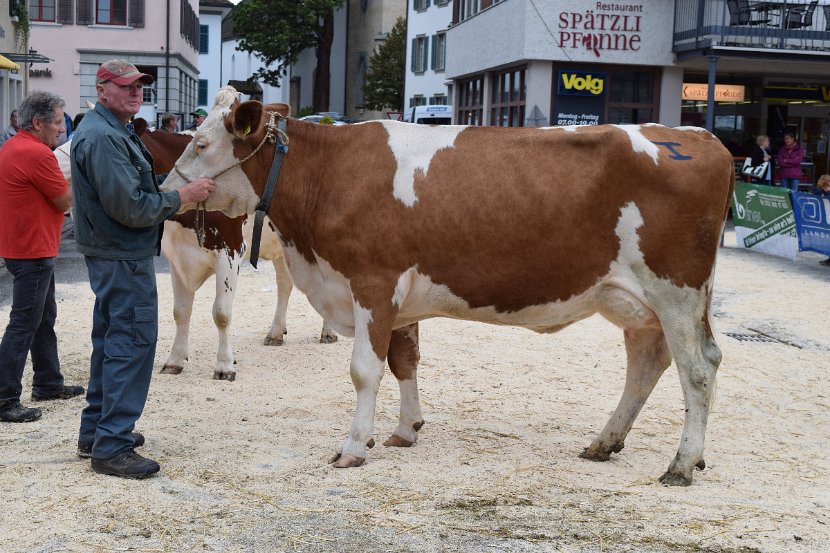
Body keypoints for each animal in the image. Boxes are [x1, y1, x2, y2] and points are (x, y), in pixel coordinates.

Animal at [162, 89, 736, 484]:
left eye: (201, 142)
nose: (167, 189)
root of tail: (701, 138)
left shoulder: (374, 282)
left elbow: (365, 369)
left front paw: (354, 445)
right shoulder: (398, 297)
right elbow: (404, 361)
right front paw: (404, 430)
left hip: (677, 293)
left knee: (698, 369)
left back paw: (682, 463)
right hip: (633, 300)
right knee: (647, 361)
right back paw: (605, 442)